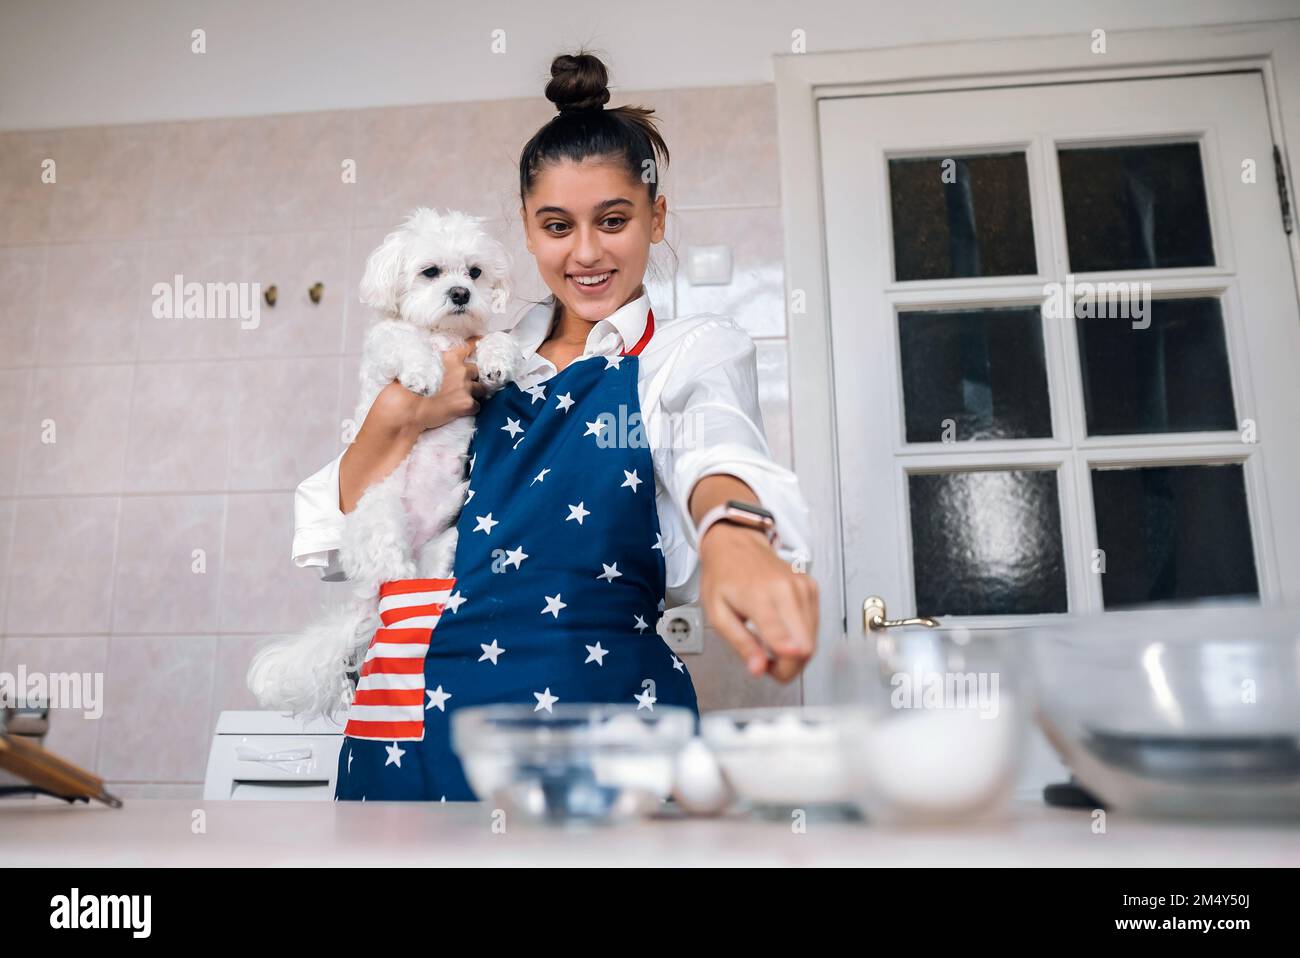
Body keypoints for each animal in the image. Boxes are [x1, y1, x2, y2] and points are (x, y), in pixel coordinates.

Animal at [248, 207, 522, 717]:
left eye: (474, 273)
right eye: (430, 272)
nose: (460, 293)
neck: (440, 336)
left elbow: (490, 337)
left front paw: (498, 357)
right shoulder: (384, 355)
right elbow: (403, 345)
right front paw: (424, 374)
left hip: (446, 540)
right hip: (381, 523)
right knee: (393, 582)